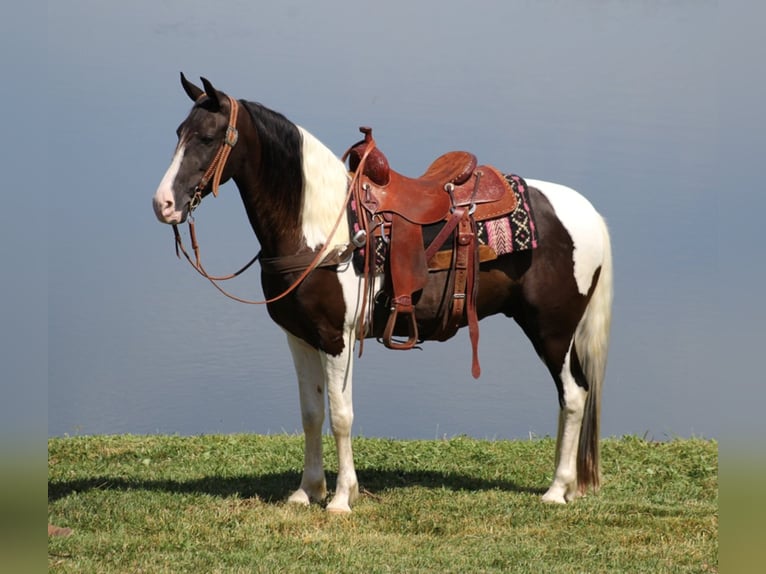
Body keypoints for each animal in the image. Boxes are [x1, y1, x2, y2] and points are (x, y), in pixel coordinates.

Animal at [153, 75, 616, 512]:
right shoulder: (299, 337)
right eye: (178, 132)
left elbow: (341, 416)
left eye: (207, 138)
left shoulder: (336, 338)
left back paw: (556, 490)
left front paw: (342, 499)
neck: (321, 228)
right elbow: (311, 413)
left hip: (552, 330)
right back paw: (568, 486)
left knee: (573, 396)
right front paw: (307, 491)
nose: (163, 205)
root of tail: (589, 213)